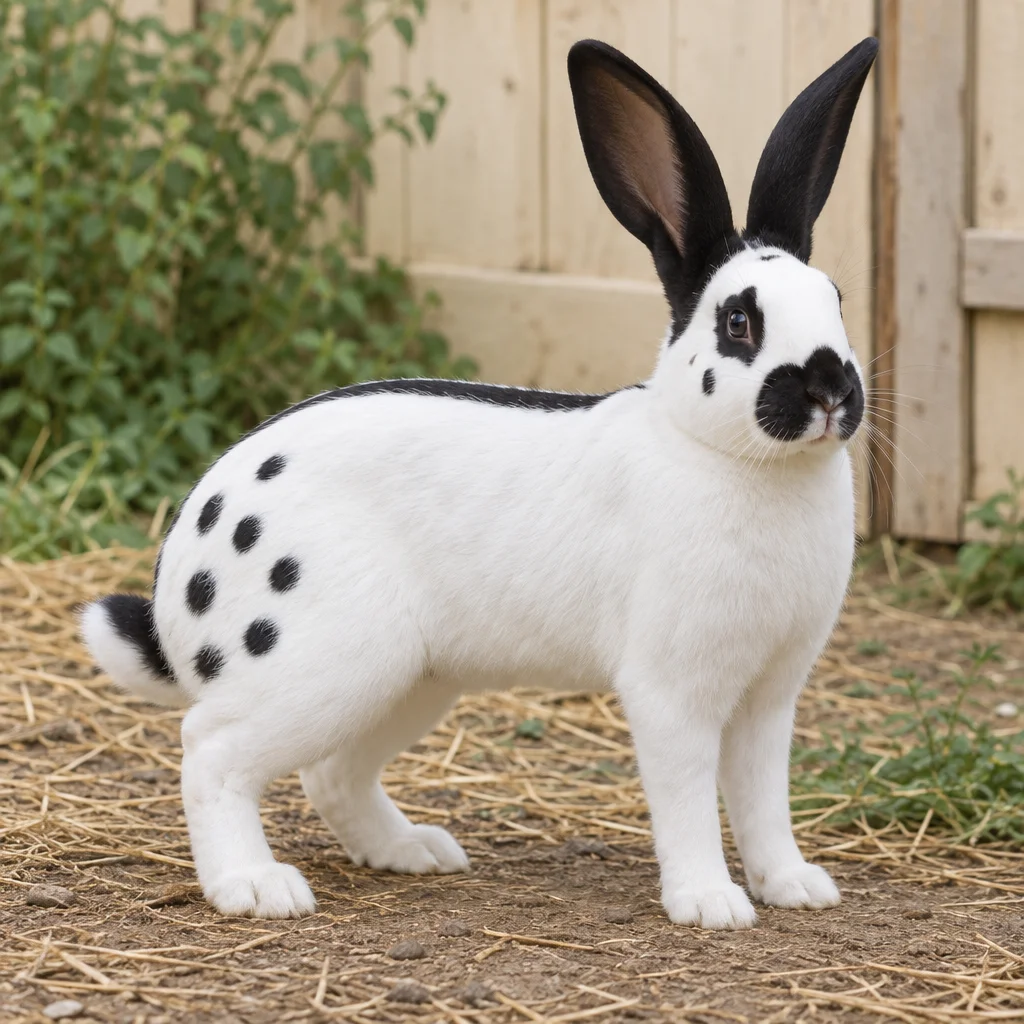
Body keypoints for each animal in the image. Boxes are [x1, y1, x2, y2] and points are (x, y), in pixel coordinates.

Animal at [81, 35, 877, 929]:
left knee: (331, 772)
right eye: (739, 323)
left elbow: (763, 799)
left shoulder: (769, 698)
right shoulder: (672, 690)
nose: (830, 390)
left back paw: (412, 851)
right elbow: (686, 800)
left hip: (409, 680)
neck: (723, 453)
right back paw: (256, 887)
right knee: (209, 750)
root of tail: (184, 560)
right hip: (318, 663)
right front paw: (710, 903)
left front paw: (795, 886)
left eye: (836, 300)